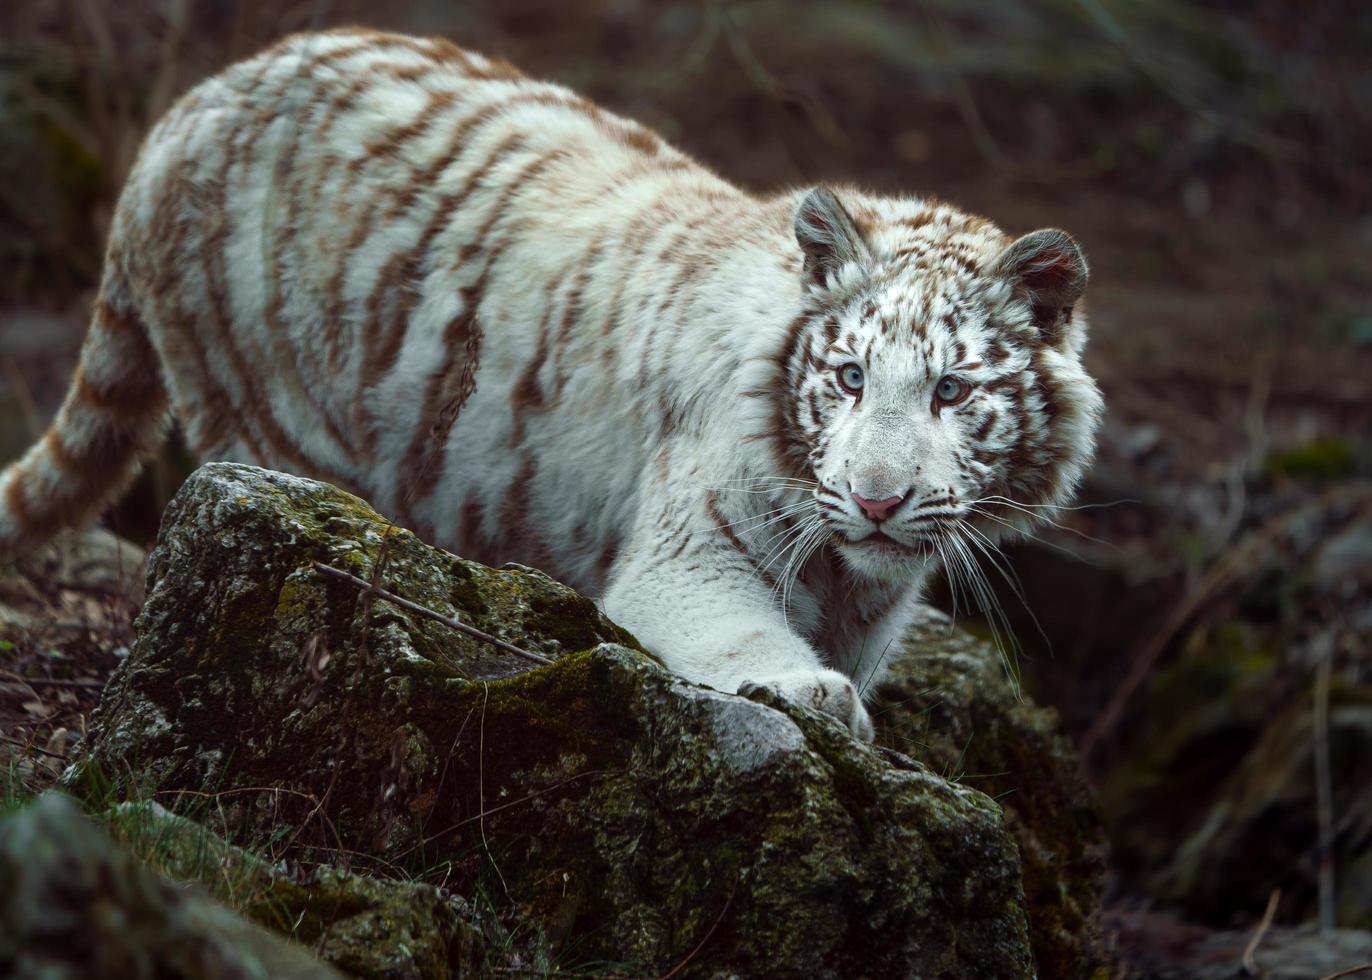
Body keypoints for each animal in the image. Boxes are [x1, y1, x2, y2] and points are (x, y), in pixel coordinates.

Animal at [0, 26, 1097, 735]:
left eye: (950, 391)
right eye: (850, 377)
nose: (875, 500)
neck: (848, 568)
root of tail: (183, 112)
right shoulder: (688, 555)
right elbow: (741, 635)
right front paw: (812, 694)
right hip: (270, 421)